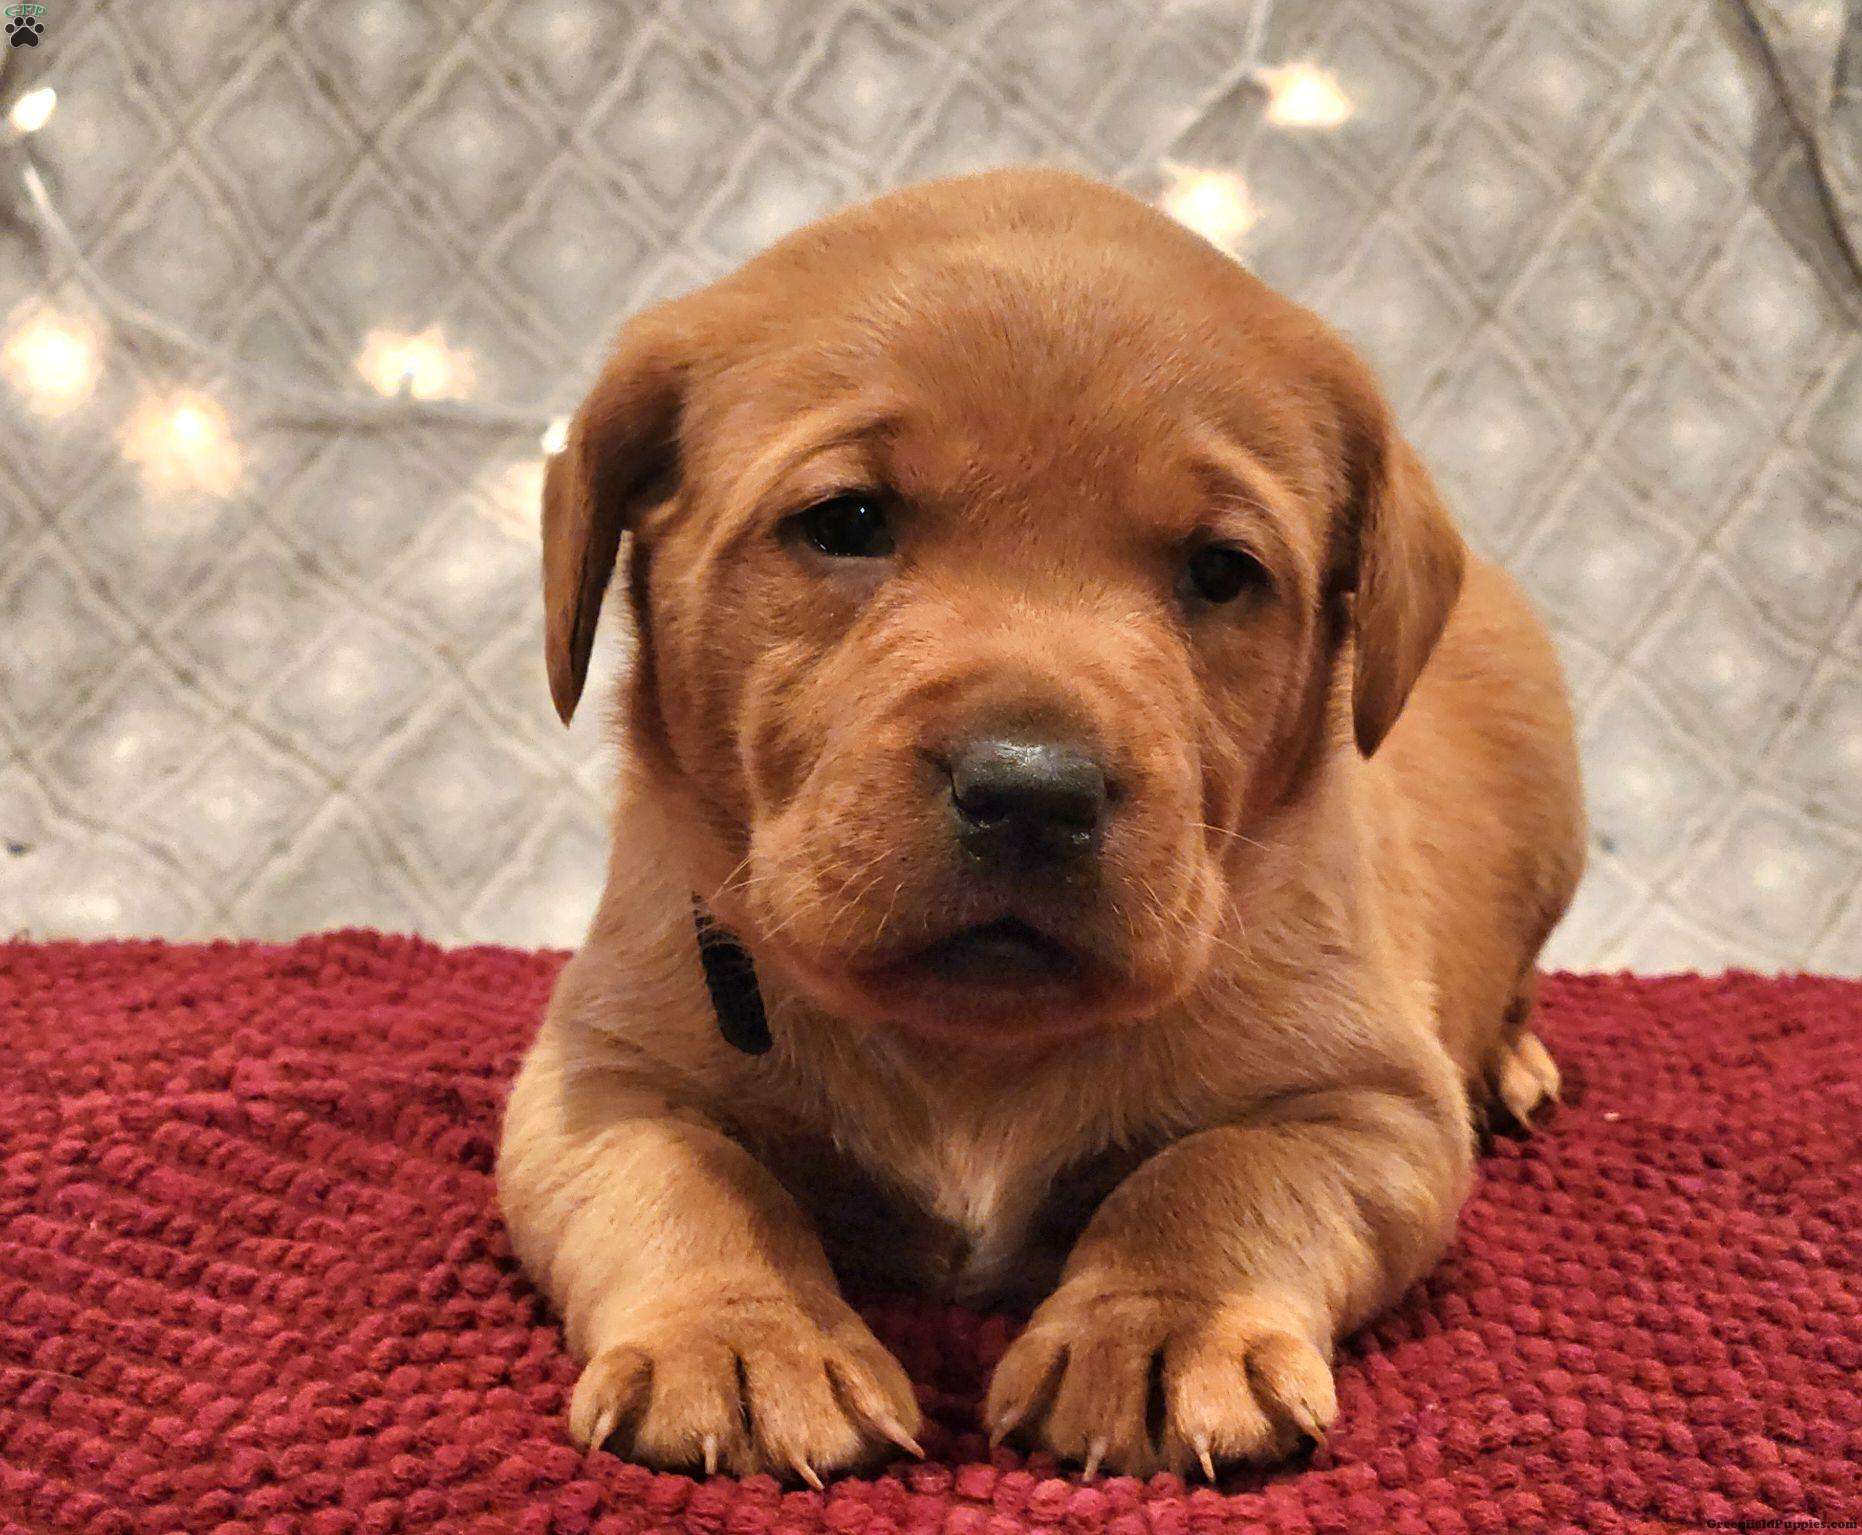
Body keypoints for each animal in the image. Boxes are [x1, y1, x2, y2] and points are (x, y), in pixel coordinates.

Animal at [497, 167, 1585, 1484]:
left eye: (1219, 571)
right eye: (845, 519)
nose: (1030, 789)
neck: (972, 1045)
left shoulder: (1370, 1100)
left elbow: (1210, 1172)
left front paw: (1158, 1324)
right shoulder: (594, 1078)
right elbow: (692, 1177)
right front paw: (743, 1335)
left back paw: (1514, 1062)